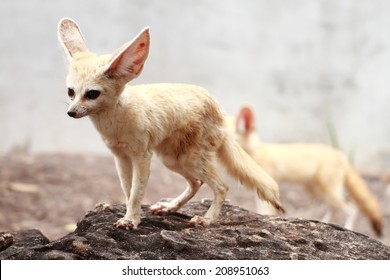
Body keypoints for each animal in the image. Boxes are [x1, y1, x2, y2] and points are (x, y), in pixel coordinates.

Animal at [57, 18, 284, 231]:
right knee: (196, 183)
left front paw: (130, 220)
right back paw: (170, 207)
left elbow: (136, 192)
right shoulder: (120, 157)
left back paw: (206, 219)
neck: (116, 122)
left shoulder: (142, 156)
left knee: (222, 187)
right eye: (71, 92)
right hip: (173, 160)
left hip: (189, 160)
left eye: (92, 94)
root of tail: (218, 108)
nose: (71, 113)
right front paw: (132, 215)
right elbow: (128, 191)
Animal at [235, 105, 384, 236]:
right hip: (316, 191)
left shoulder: (268, 185)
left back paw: (347, 228)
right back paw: (325, 223)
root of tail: (339, 153)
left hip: (329, 192)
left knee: (352, 208)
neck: (258, 152)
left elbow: (267, 210)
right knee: (334, 207)